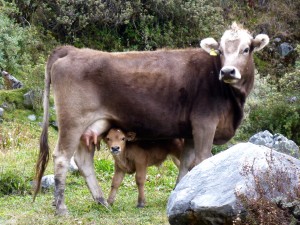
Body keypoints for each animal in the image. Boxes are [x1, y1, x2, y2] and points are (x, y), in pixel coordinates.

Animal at [35, 22, 270, 214]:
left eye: (246, 49)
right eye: (220, 50)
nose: (228, 71)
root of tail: (72, 50)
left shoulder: (190, 131)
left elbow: (186, 164)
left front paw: (179, 192)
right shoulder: (205, 123)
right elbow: (203, 160)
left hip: (94, 126)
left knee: (83, 161)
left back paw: (101, 201)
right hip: (72, 122)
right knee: (62, 158)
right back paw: (62, 207)